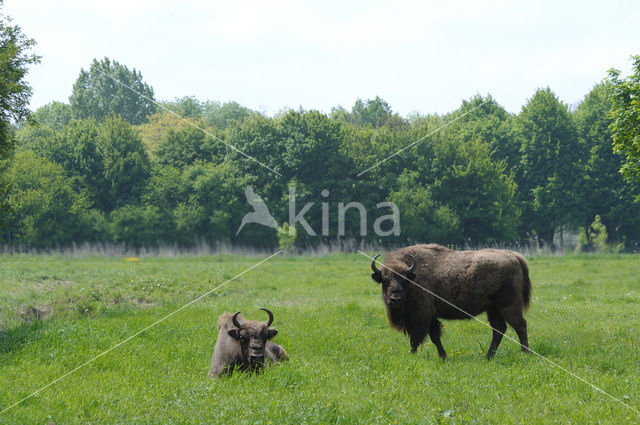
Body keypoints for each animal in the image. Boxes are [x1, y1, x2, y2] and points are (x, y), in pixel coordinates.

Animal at [370, 243, 528, 360]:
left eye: (404, 281)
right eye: (385, 281)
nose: (395, 300)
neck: (413, 277)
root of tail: (514, 256)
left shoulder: (421, 316)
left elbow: (420, 338)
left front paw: (414, 355)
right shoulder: (428, 318)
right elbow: (433, 337)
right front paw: (443, 356)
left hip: (508, 307)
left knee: (520, 325)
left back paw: (525, 353)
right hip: (493, 309)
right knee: (499, 330)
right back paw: (488, 357)